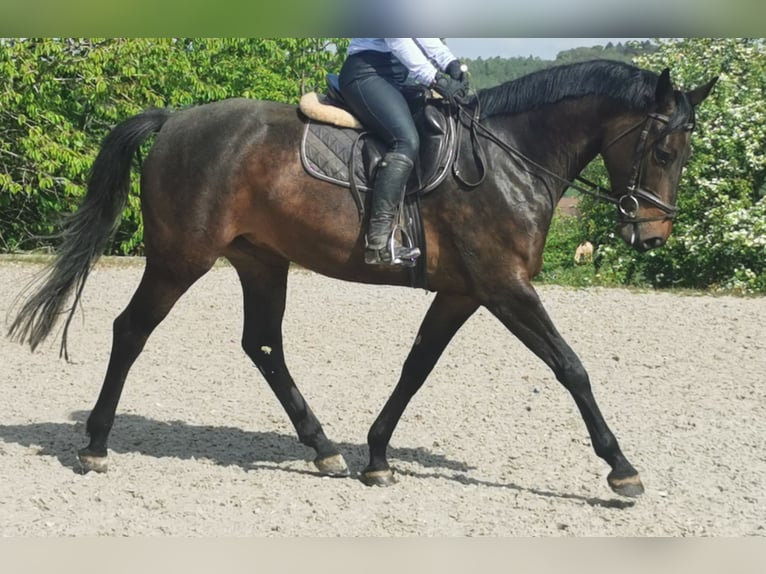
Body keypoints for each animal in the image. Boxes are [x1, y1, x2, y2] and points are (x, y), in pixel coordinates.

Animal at [7, 60, 720, 498]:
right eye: (663, 149)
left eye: (683, 153)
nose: (653, 236)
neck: (510, 159)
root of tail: (176, 119)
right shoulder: (504, 287)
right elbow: (570, 367)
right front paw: (621, 469)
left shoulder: (462, 292)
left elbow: (417, 367)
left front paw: (377, 456)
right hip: (180, 259)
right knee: (131, 331)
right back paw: (96, 445)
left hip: (261, 260)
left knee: (262, 345)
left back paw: (324, 447)